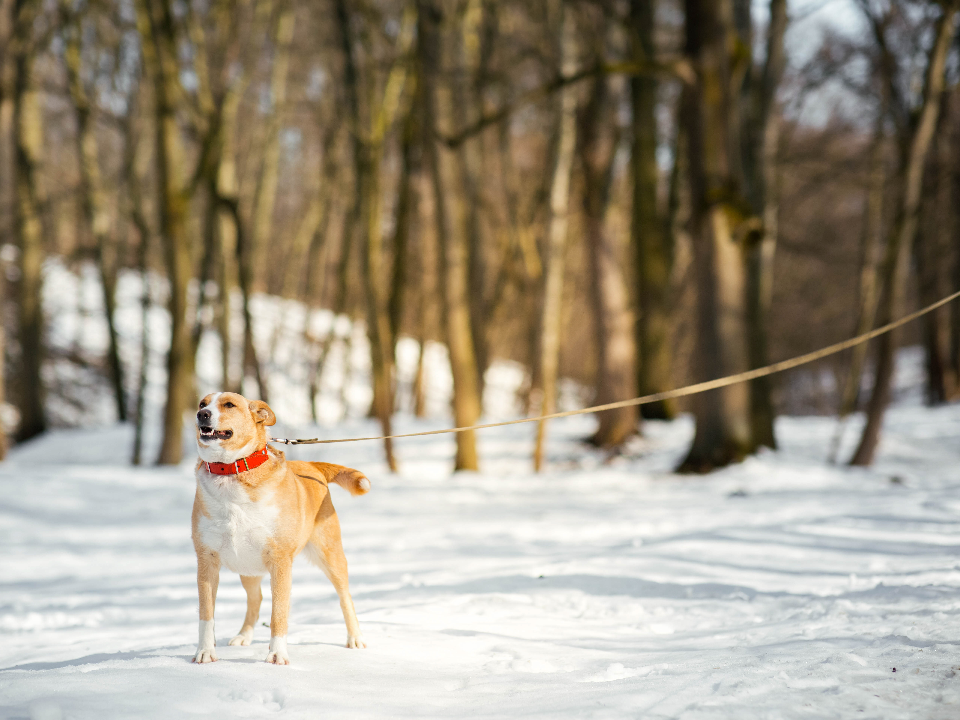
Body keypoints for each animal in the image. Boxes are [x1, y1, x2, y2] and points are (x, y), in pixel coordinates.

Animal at [189, 394, 370, 664]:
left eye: (229, 405)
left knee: (345, 597)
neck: (232, 472)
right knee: (256, 599)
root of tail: (311, 466)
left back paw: (355, 638)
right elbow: (206, 615)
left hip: (331, 556)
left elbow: (278, 614)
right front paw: (205, 652)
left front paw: (277, 654)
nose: (202, 415)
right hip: (247, 567)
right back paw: (244, 636)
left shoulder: (280, 560)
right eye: (202, 403)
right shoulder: (206, 560)